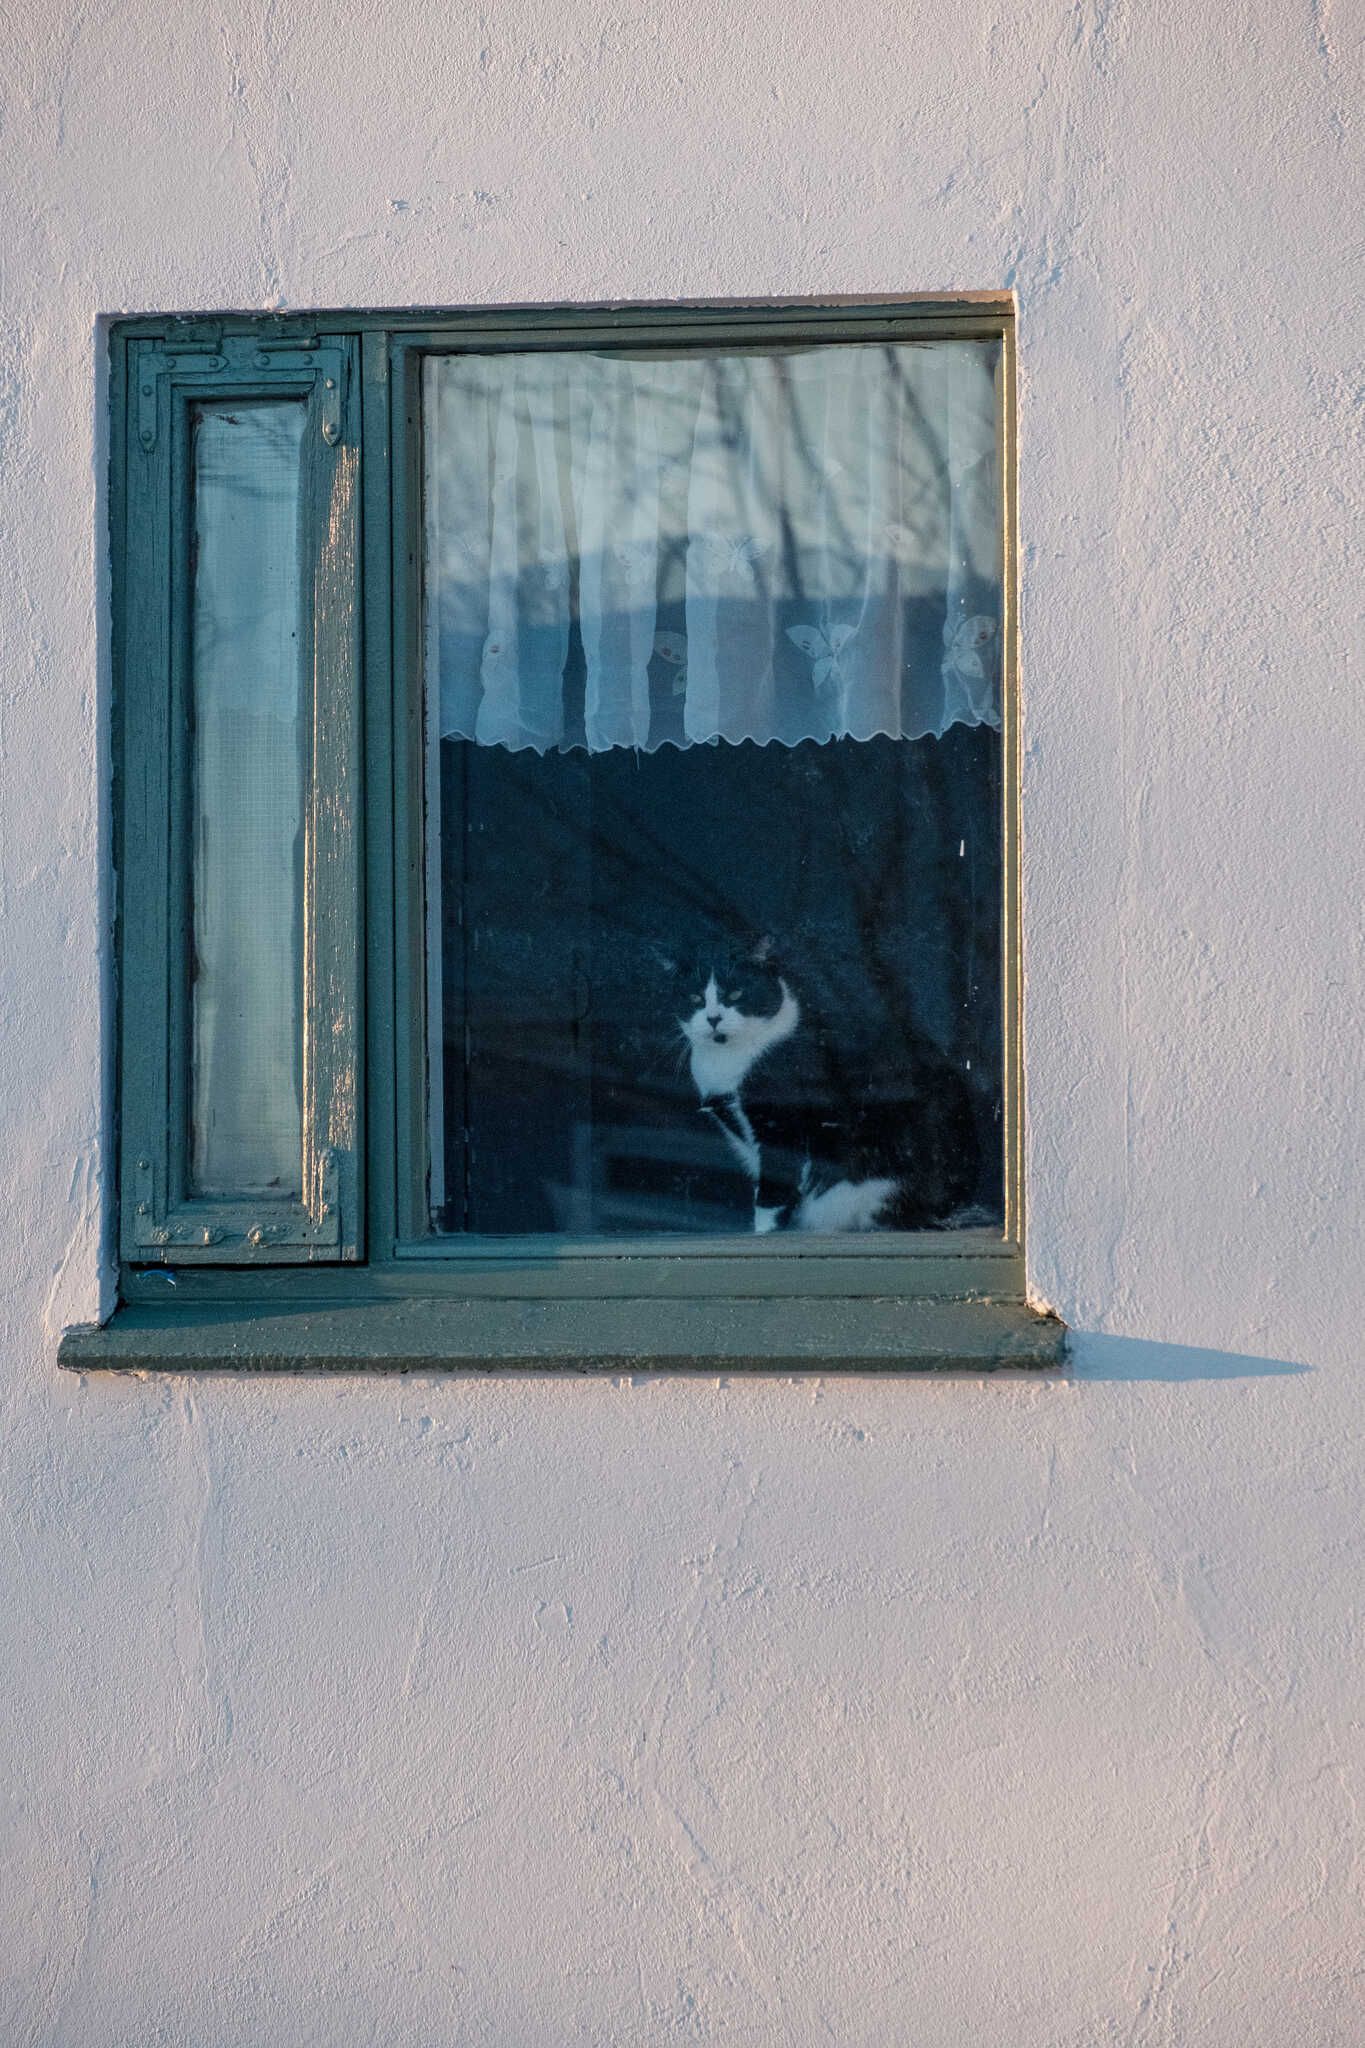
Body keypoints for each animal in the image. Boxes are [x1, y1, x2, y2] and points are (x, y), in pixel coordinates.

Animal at [675, 933, 978, 1228]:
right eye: (695, 999)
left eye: (736, 993)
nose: (713, 1018)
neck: (727, 1059)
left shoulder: (780, 1125)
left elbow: (772, 1194)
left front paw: (764, 1232)